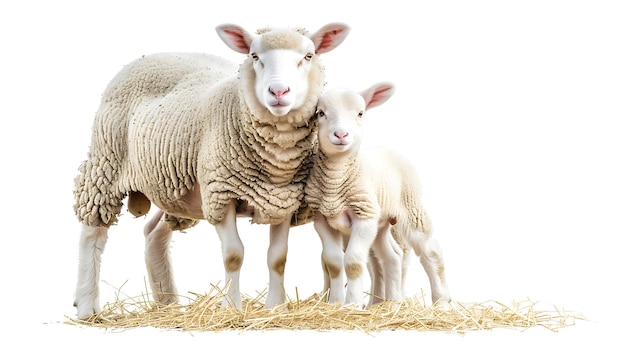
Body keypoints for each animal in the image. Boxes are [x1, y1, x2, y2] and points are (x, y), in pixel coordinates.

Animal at [72, 21, 352, 320]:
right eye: (254, 56)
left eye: (308, 56)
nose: (278, 92)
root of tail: (153, 54)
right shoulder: (221, 194)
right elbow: (234, 254)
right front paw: (231, 308)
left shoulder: (283, 201)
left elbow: (278, 257)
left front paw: (276, 306)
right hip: (106, 163)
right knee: (93, 231)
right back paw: (87, 306)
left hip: (175, 188)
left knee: (154, 232)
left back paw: (168, 304)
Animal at [302, 82, 448, 308]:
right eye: (321, 113)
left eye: (360, 113)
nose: (341, 135)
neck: (336, 182)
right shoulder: (323, 220)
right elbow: (333, 263)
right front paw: (335, 303)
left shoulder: (364, 217)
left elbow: (353, 262)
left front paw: (352, 304)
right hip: (381, 224)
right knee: (392, 257)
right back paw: (390, 302)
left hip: (412, 209)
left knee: (431, 253)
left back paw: (442, 302)